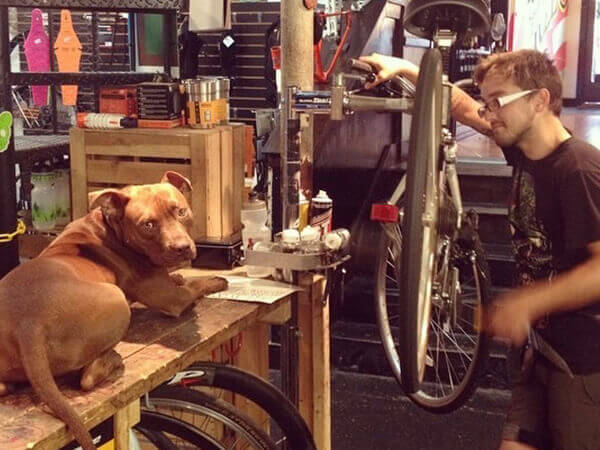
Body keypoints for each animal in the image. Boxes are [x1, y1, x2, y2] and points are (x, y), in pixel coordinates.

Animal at [0, 171, 227, 448]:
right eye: (148, 225)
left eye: (181, 211)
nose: (182, 248)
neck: (111, 229)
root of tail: (28, 323)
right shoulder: (171, 298)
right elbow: (195, 286)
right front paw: (216, 281)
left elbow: (180, 279)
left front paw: (180, 276)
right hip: (115, 300)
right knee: (87, 378)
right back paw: (113, 359)